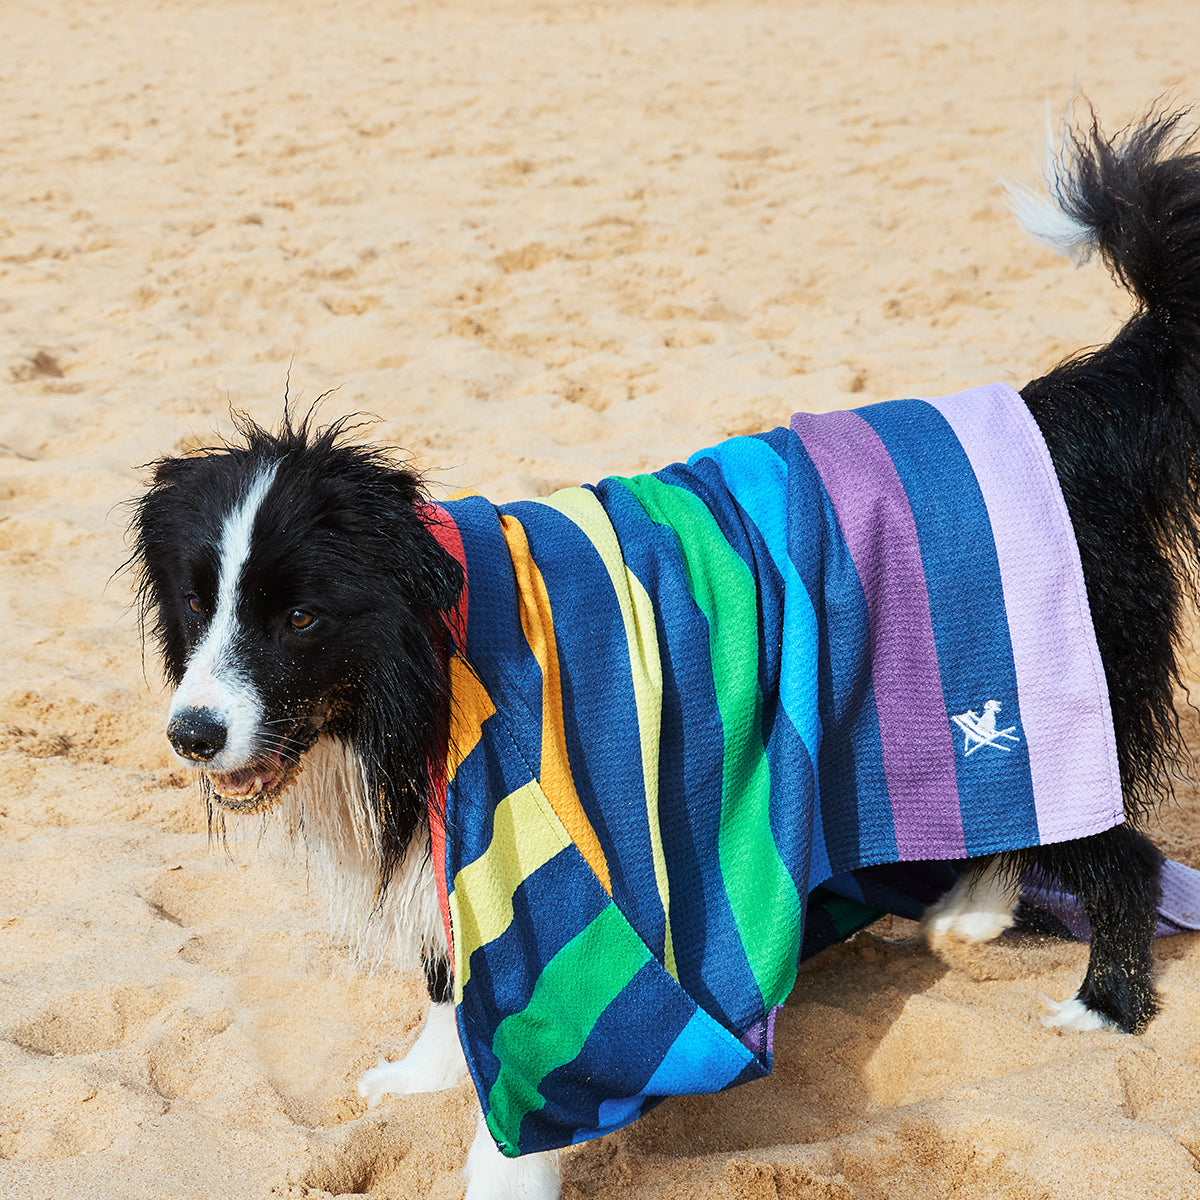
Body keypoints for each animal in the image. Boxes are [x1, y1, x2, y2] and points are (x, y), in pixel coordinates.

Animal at [129, 110, 1200, 1190]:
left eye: (301, 618)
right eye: (197, 601)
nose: (192, 734)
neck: (425, 668)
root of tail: (1055, 418)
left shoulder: (554, 863)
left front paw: (502, 1175)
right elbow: (445, 974)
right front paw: (420, 1077)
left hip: (1038, 688)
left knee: (1122, 852)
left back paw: (1103, 1004)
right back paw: (973, 910)